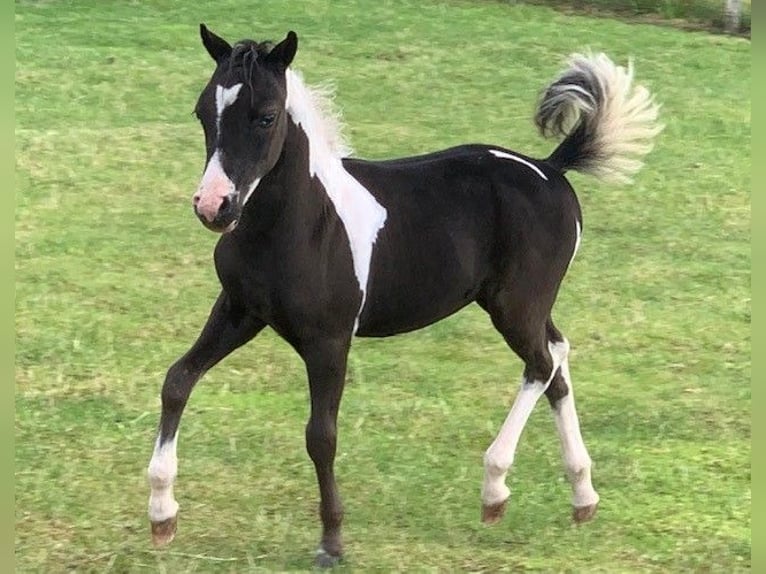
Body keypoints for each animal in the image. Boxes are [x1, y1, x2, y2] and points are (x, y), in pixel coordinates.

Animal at [146, 24, 662, 567]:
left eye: (265, 116)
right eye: (203, 112)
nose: (213, 206)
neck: (300, 222)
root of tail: (550, 168)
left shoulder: (329, 340)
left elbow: (321, 435)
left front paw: (332, 542)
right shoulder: (240, 312)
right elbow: (177, 380)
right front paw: (162, 515)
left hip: (515, 305)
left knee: (541, 365)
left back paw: (495, 491)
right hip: (525, 306)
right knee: (557, 361)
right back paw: (582, 496)